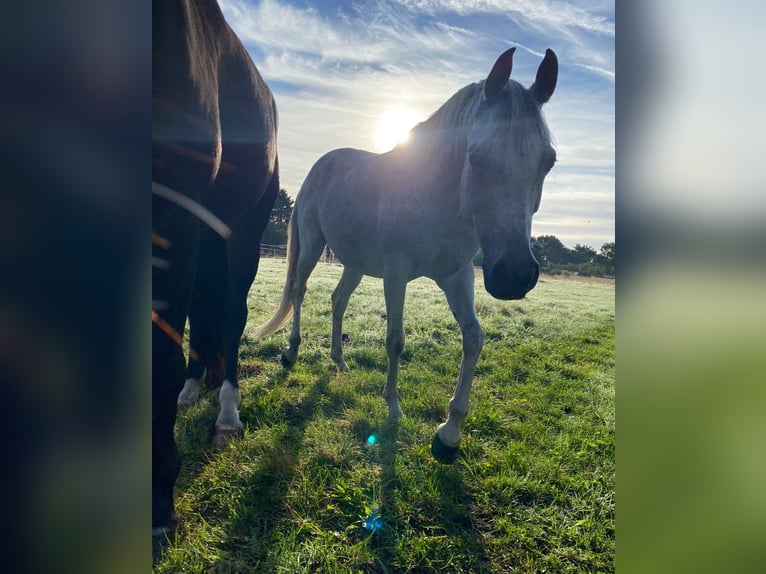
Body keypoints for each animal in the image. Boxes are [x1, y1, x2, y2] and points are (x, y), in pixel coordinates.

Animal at [255, 47, 558, 464]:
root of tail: (321, 165)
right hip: (313, 246)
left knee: (337, 300)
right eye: (477, 158)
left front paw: (449, 433)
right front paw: (394, 407)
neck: (437, 199)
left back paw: (339, 360)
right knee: (299, 292)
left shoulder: (458, 276)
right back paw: (291, 352)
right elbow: (395, 339)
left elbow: (474, 338)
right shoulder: (396, 275)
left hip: (354, 263)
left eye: (549, 161)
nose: (513, 276)